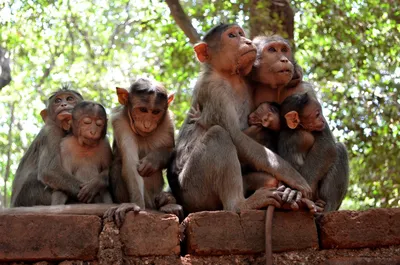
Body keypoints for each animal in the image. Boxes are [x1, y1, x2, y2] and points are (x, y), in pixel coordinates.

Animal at [104, 77, 183, 225]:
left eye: (156, 112)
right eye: (142, 110)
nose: (147, 124)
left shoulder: (168, 120)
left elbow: (170, 150)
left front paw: (152, 161)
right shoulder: (120, 121)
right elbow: (130, 165)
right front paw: (135, 205)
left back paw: (168, 202)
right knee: (117, 165)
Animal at [166, 23, 312, 217]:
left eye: (241, 33)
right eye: (232, 36)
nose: (247, 41)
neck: (230, 76)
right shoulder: (213, 90)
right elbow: (236, 136)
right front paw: (294, 177)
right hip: (193, 190)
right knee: (218, 134)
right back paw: (239, 205)